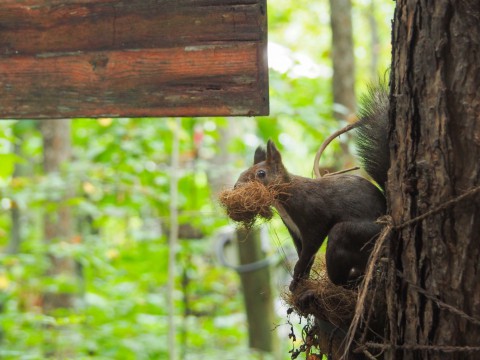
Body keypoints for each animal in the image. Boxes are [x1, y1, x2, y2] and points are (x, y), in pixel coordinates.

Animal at [234, 85, 388, 290]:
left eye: (261, 174)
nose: (236, 186)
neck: (285, 198)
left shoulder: (314, 216)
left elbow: (309, 250)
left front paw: (297, 276)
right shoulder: (294, 231)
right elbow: (305, 255)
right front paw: (301, 279)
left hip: (357, 234)